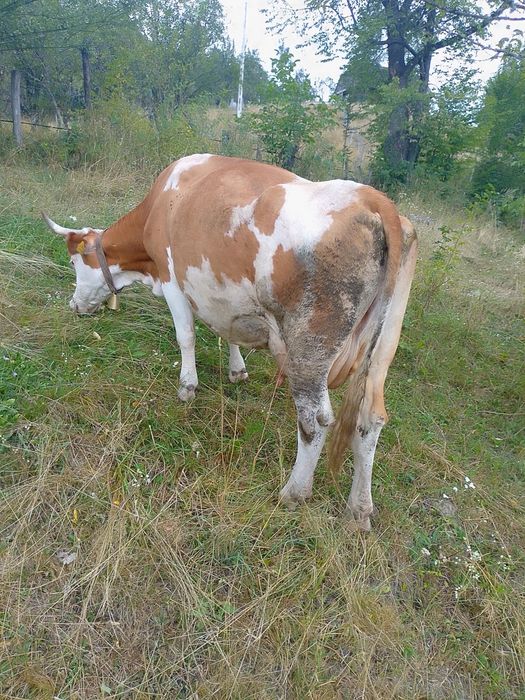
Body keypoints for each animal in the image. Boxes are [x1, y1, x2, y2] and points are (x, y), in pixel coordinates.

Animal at [43, 154, 417, 530]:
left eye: (74, 261)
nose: (74, 306)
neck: (162, 203)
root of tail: (371, 198)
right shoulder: (219, 295)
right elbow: (227, 332)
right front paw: (237, 370)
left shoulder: (172, 278)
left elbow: (186, 336)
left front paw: (187, 386)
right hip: (382, 348)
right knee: (370, 419)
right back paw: (360, 509)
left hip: (309, 347)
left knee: (315, 420)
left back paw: (294, 492)